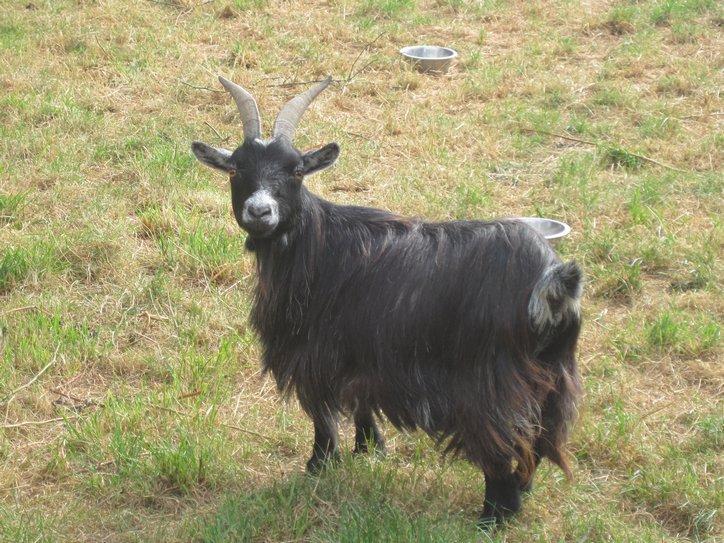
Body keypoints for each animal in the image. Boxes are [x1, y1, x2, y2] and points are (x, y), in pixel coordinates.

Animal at [191, 76, 583, 526]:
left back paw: (493, 517)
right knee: (537, 442)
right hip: (553, 378)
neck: (316, 244)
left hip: (491, 385)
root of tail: (553, 279)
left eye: (296, 170)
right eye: (235, 168)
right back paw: (521, 491)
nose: (260, 211)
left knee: (503, 446)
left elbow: (322, 412)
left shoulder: (315, 351)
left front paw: (318, 465)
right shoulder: (363, 350)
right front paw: (369, 448)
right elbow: (361, 400)